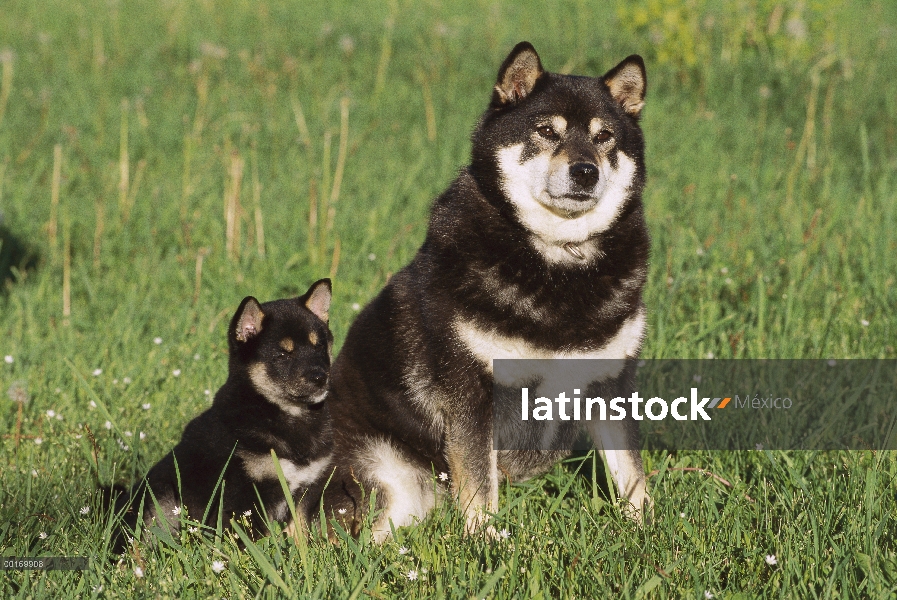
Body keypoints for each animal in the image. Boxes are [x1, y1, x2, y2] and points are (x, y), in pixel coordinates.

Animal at [316, 41, 652, 540]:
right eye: (546, 131)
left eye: (605, 136)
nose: (585, 171)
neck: (557, 263)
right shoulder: (472, 392)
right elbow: (479, 485)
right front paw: (487, 543)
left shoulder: (611, 384)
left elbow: (631, 473)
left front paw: (649, 529)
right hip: (388, 481)